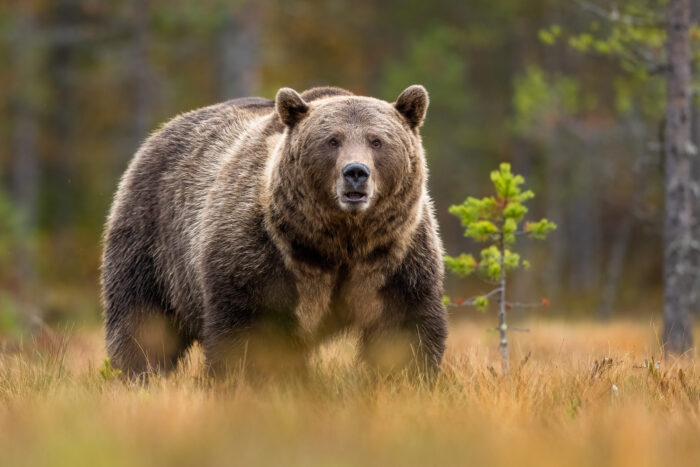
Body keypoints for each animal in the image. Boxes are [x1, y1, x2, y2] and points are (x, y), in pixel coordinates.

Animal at [101, 85, 447, 380]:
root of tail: (160, 131)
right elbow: (251, 332)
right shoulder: (263, 252)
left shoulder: (393, 257)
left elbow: (403, 328)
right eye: (332, 140)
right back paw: (138, 374)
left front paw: (406, 378)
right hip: (153, 237)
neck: (338, 241)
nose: (356, 173)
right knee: (142, 319)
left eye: (377, 141)